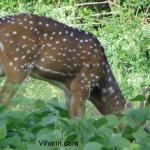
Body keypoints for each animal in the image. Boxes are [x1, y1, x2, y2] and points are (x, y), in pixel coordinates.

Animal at [0, 13, 148, 120]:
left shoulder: (68, 90)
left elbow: (71, 117)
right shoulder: (82, 83)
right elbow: (79, 118)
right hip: (19, 62)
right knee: (4, 98)